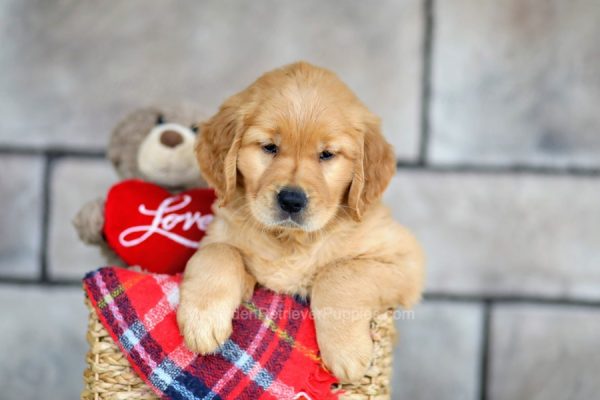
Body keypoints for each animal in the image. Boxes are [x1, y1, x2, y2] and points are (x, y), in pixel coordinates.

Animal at [176, 61, 424, 382]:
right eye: (269, 147)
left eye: (327, 154)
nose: (292, 201)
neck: (291, 241)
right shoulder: (220, 236)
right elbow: (217, 252)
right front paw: (202, 320)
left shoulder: (405, 259)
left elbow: (338, 273)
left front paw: (347, 351)